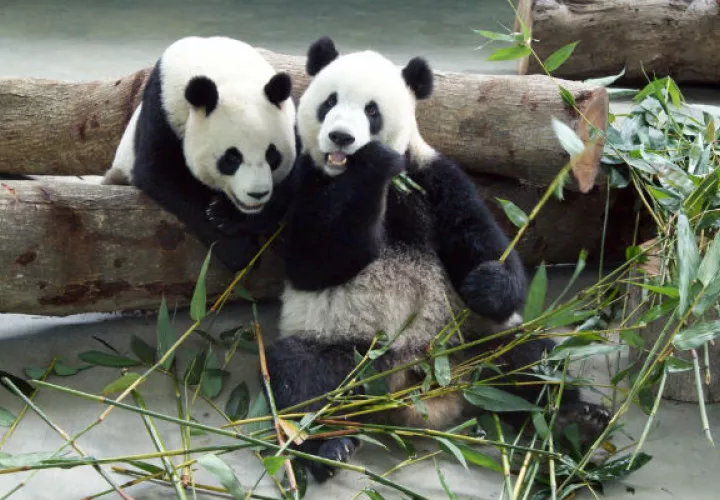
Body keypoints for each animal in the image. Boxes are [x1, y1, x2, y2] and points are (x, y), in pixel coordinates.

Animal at [103, 36, 298, 272]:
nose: (257, 194)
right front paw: (239, 250)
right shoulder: (162, 108)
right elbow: (163, 175)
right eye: (231, 158)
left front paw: (230, 217)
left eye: (272, 156)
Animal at [265, 37, 612, 482]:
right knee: (303, 378)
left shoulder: (432, 175)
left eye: (371, 110)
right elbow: (315, 259)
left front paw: (487, 284)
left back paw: (576, 420)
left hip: (472, 340)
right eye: (329, 102)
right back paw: (328, 446)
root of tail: (415, 384)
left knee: (531, 360)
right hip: (345, 345)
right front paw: (370, 168)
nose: (341, 138)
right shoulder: (304, 179)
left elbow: (478, 237)